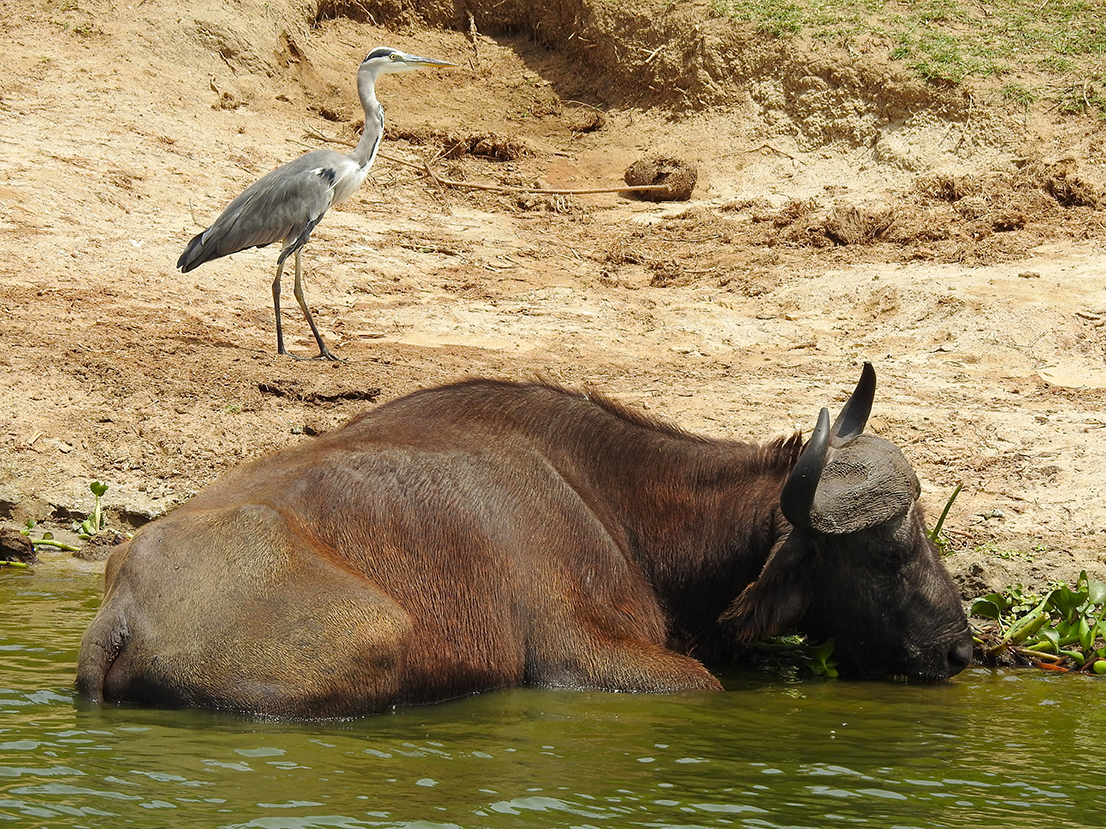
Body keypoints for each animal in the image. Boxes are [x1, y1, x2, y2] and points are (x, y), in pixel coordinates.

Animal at [77, 364, 973, 720]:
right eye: (887, 551)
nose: (960, 649)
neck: (615, 499)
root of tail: (122, 610)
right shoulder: (590, 660)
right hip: (376, 640)